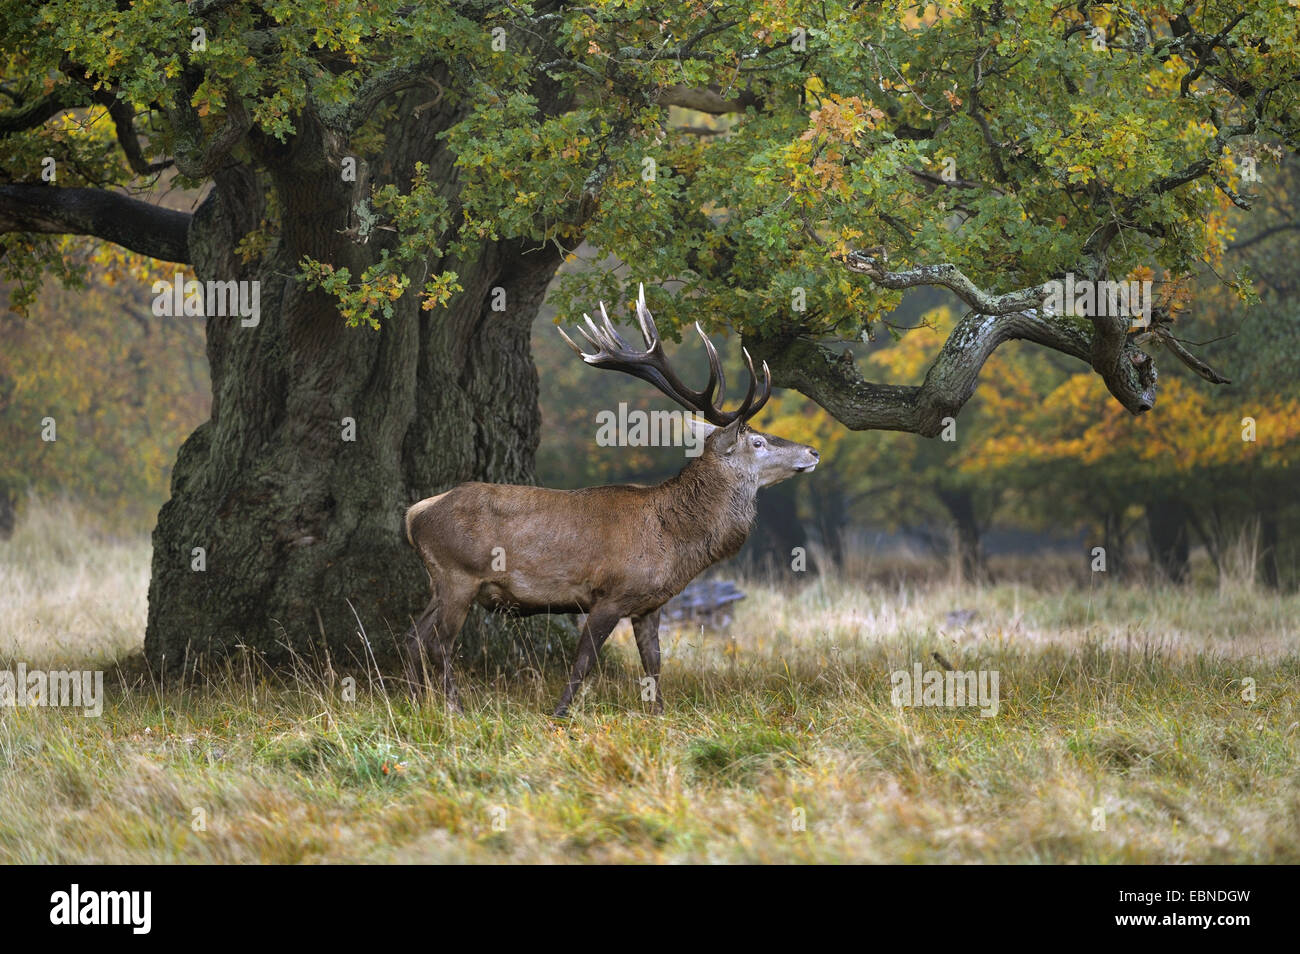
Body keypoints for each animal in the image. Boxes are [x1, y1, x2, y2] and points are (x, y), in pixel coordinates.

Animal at [402, 285, 821, 716]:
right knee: (438, 641)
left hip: (441, 580)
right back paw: (454, 708)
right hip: (458, 574)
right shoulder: (609, 594)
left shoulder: (650, 604)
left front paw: (658, 713)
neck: (674, 541)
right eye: (757, 442)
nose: (813, 451)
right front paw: (558, 713)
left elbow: (653, 663)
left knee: (412, 636)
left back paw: (415, 702)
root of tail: (414, 513)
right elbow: (584, 660)